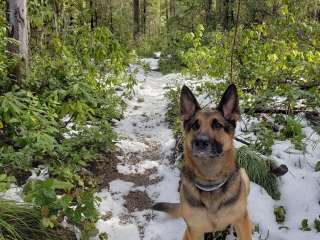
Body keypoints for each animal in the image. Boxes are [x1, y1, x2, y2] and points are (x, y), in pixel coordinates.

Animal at [153, 84, 252, 238]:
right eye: (195, 126)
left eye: (217, 125)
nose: (201, 142)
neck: (210, 181)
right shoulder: (194, 231)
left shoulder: (241, 223)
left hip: (244, 176)